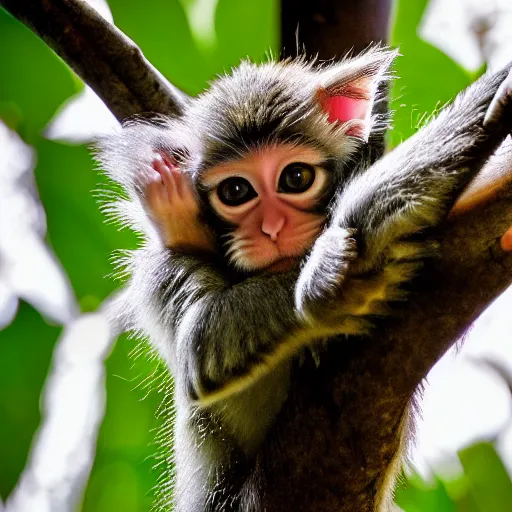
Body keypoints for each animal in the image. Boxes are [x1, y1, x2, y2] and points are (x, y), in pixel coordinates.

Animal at [95, 45, 512, 512]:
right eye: (236, 192)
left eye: (295, 178)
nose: (272, 228)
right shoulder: (158, 272)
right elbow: (200, 350)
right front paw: (326, 284)